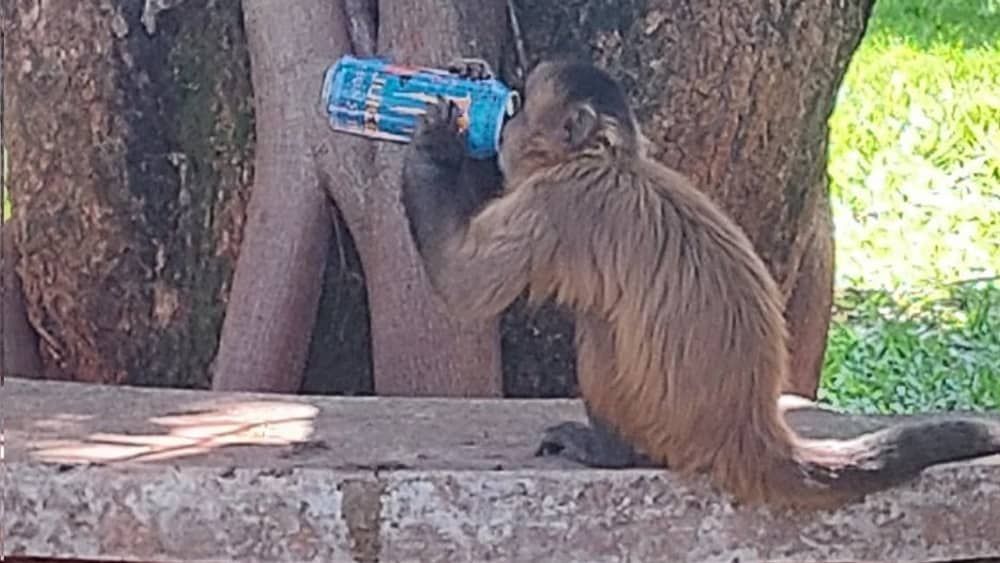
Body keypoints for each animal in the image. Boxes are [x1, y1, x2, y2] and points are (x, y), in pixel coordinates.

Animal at [399, 59, 1000, 509]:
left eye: (519, 106)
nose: (500, 121)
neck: (612, 161)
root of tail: (751, 428)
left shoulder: (561, 200)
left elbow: (463, 282)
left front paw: (436, 141)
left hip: (660, 422)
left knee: (598, 328)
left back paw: (612, 452)